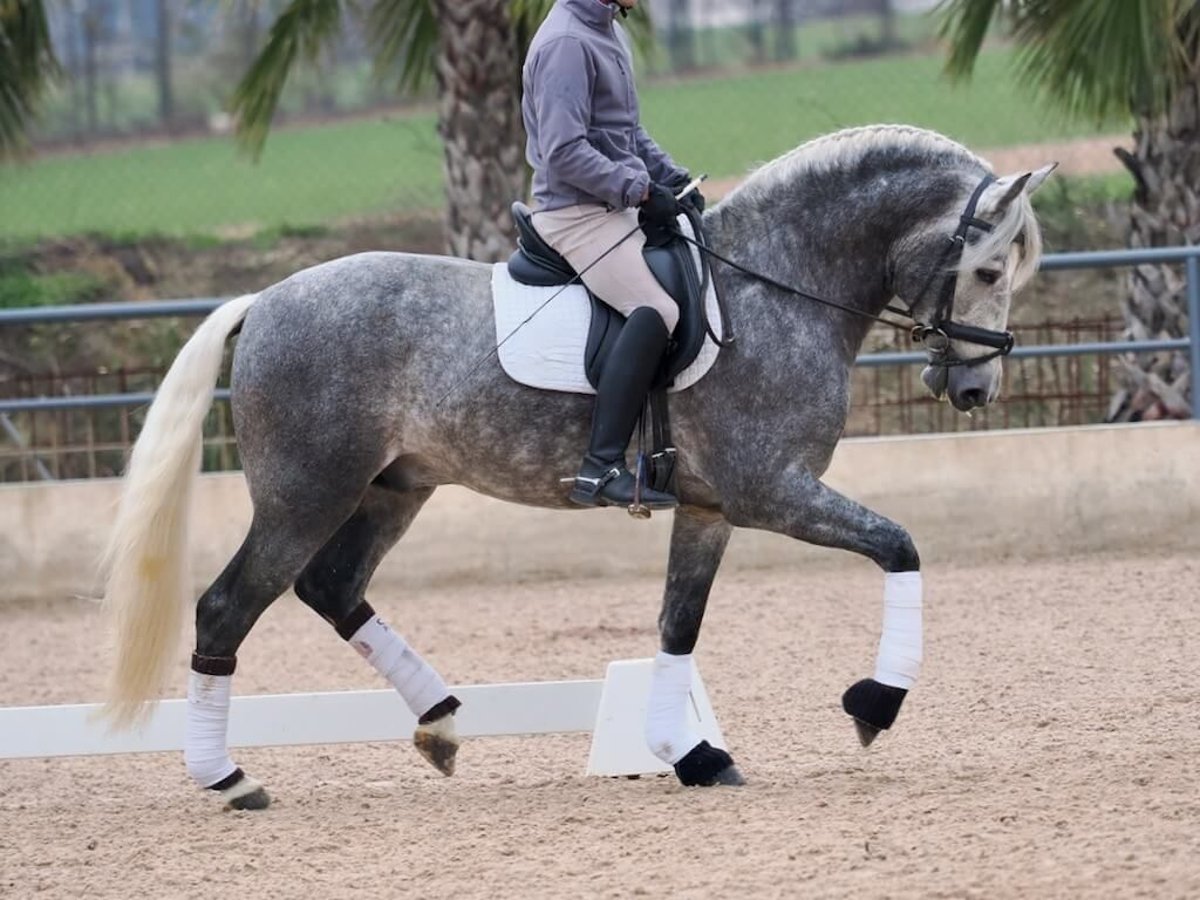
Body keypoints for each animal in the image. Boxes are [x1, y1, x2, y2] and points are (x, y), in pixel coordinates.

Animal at [108, 125, 1056, 811]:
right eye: (987, 268)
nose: (975, 388)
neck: (776, 286)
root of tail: (263, 301)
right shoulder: (771, 492)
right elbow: (900, 545)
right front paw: (873, 706)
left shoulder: (709, 509)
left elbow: (679, 626)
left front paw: (692, 753)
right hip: (307, 493)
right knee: (229, 607)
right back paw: (229, 778)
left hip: (393, 489)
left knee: (332, 589)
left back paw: (441, 725)